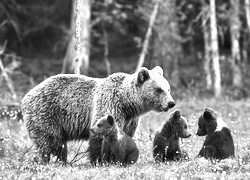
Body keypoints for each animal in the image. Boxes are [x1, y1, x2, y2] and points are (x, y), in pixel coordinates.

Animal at [21, 66, 175, 163]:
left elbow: (125, 135)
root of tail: (27, 95)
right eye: (159, 89)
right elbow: (101, 136)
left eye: (168, 88)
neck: (127, 104)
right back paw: (55, 160)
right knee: (51, 141)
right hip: (47, 113)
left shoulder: (130, 120)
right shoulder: (110, 106)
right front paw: (101, 160)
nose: (171, 103)